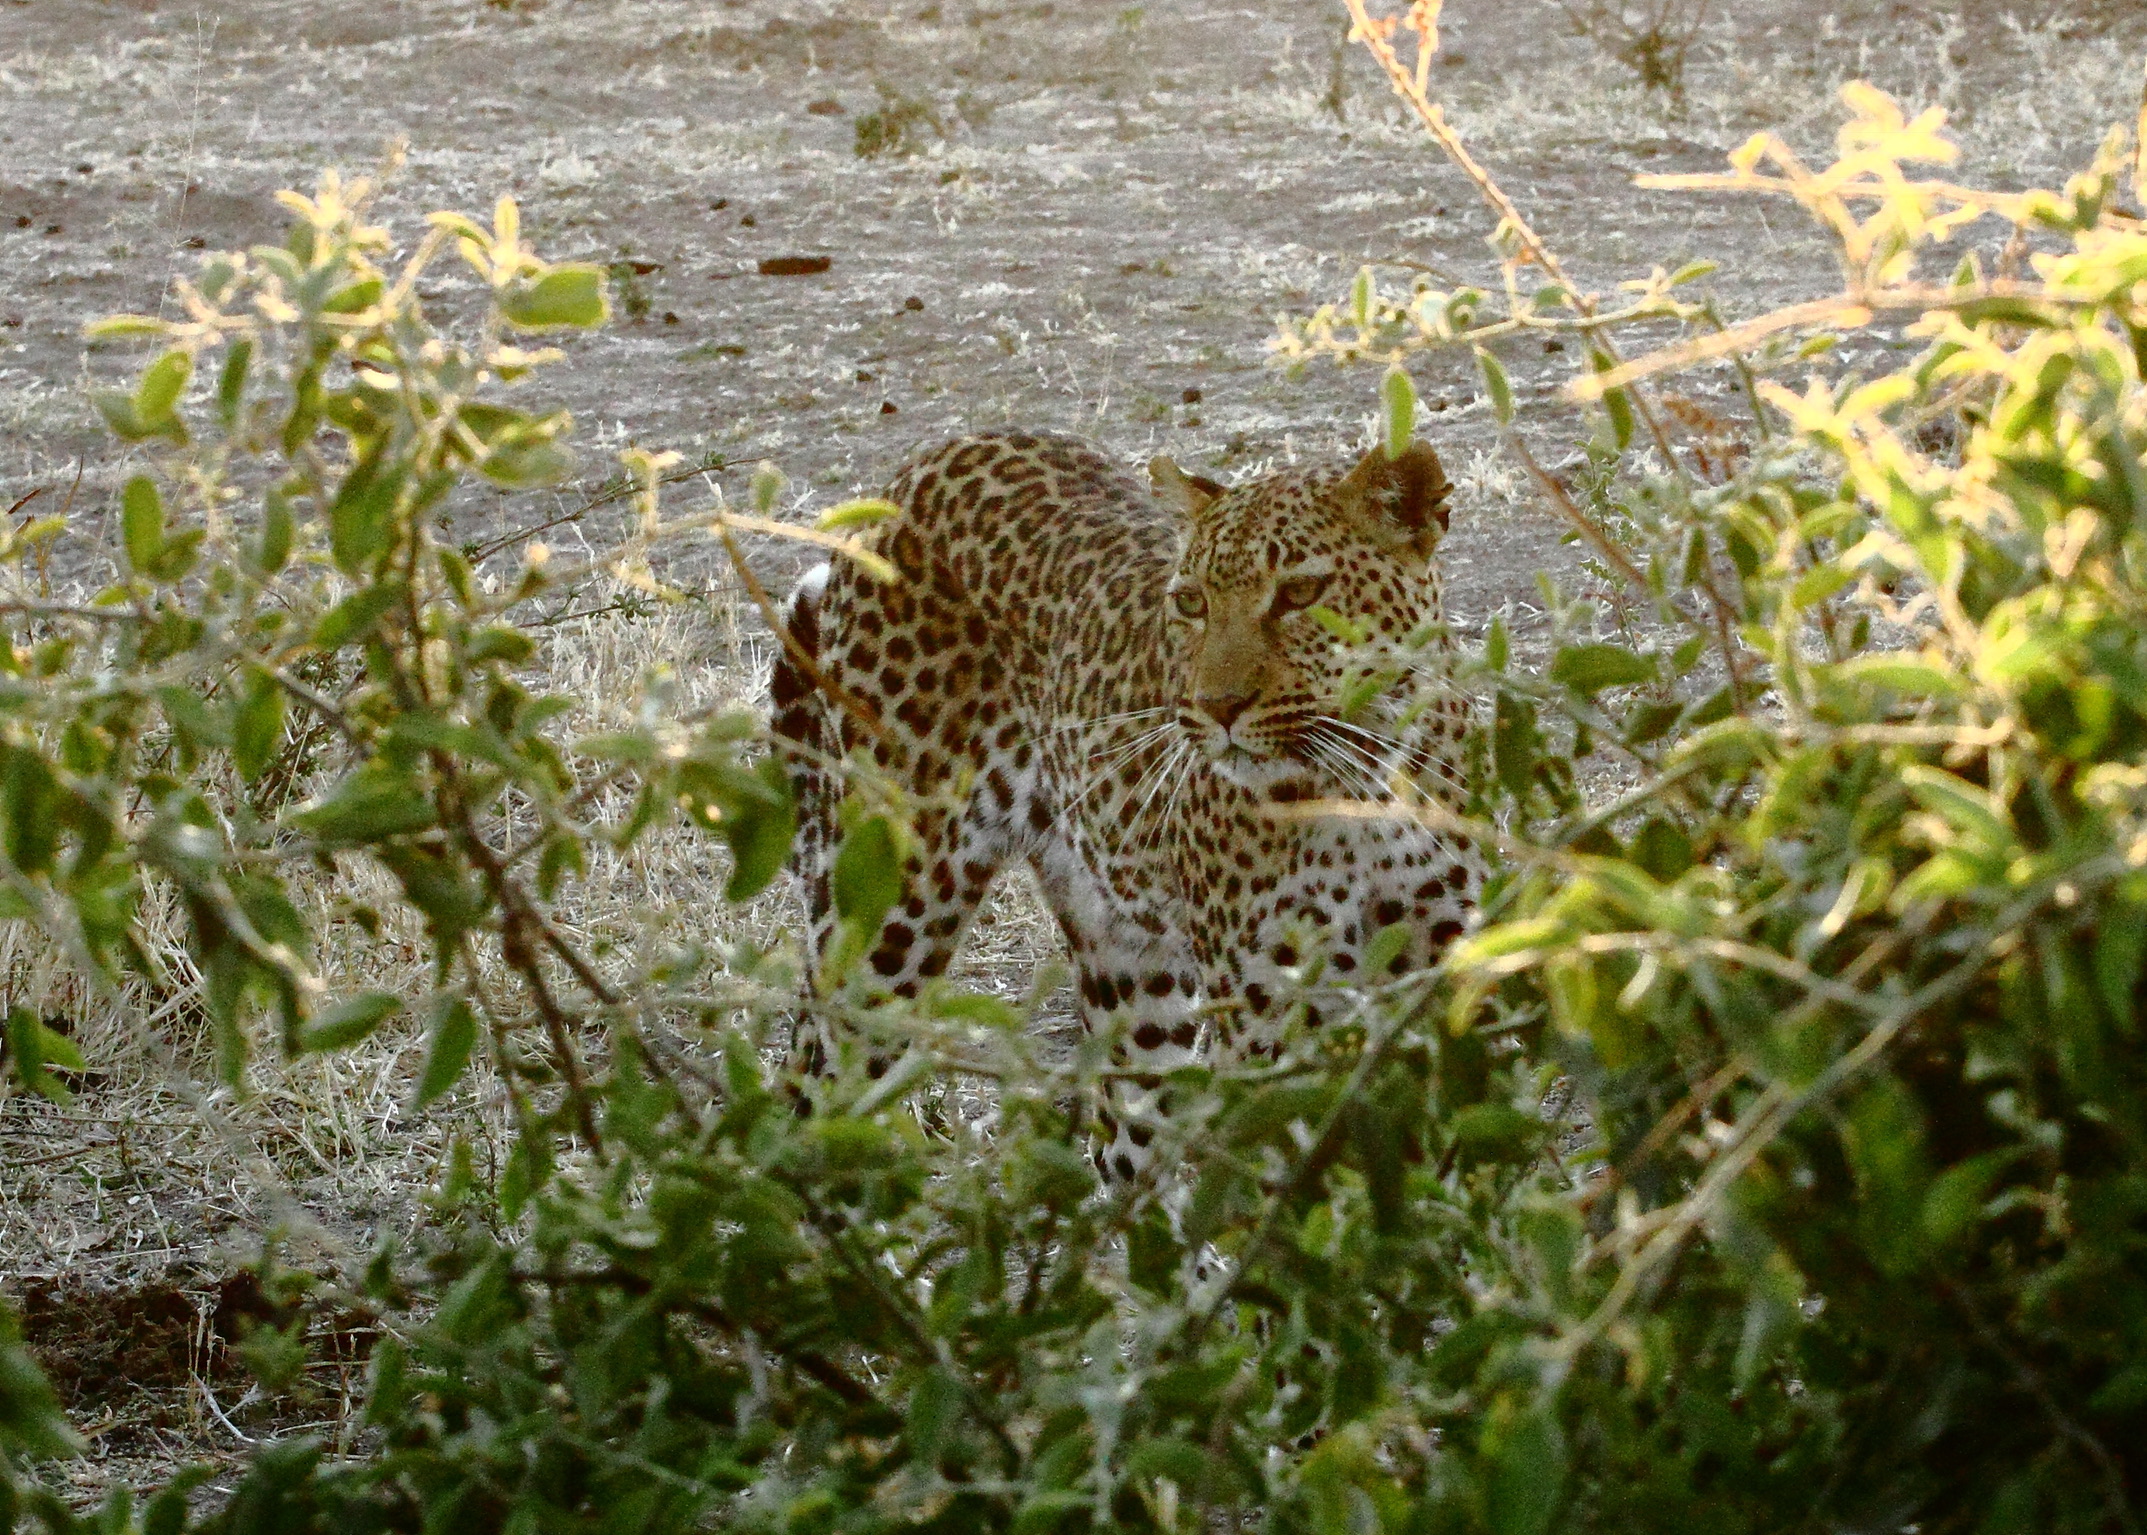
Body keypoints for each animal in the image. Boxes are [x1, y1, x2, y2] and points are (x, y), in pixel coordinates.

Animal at [769, 430, 1481, 1176]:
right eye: (1191, 602)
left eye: (1301, 592)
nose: (1216, 707)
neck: (1362, 783)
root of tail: (926, 462)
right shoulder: (1266, 1019)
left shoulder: (1443, 981)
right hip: (893, 909)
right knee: (815, 1081)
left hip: (1127, 963)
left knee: (1123, 1144)